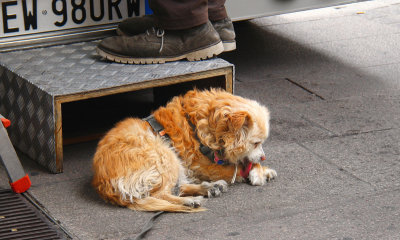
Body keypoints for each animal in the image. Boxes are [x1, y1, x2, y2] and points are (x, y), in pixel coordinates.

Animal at [92, 88, 276, 212]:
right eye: (256, 143)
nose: (263, 158)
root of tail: (105, 187)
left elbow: (243, 162)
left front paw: (260, 169)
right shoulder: (205, 166)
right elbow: (237, 168)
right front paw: (260, 172)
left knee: (178, 187)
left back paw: (209, 188)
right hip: (164, 156)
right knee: (161, 194)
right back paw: (191, 200)